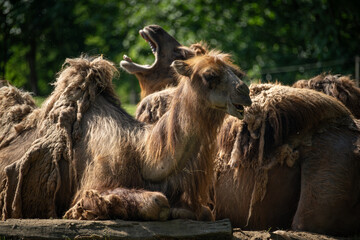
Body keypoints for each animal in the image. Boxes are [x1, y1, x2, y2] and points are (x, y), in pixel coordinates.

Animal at [0, 48, 250, 221]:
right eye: (210, 75)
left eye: (237, 72)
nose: (244, 91)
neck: (143, 156)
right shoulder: (93, 185)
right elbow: (158, 202)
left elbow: (206, 212)